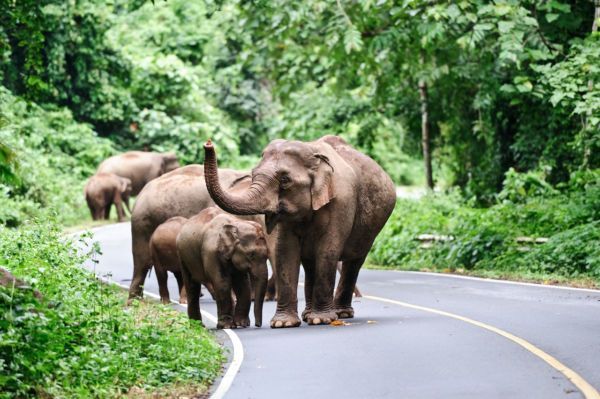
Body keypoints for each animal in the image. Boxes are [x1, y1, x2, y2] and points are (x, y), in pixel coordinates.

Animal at [204, 135, 396, 328]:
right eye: (253, 173)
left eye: (284, 180)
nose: (208, 143)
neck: (313, 154)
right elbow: (285, 250)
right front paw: (283, 324)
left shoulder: (342, 202)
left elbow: (328, 251)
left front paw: (321, 320)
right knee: (310, 263)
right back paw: (308, 314)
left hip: (372, 227)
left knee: (354, 261)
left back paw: (341, 314)